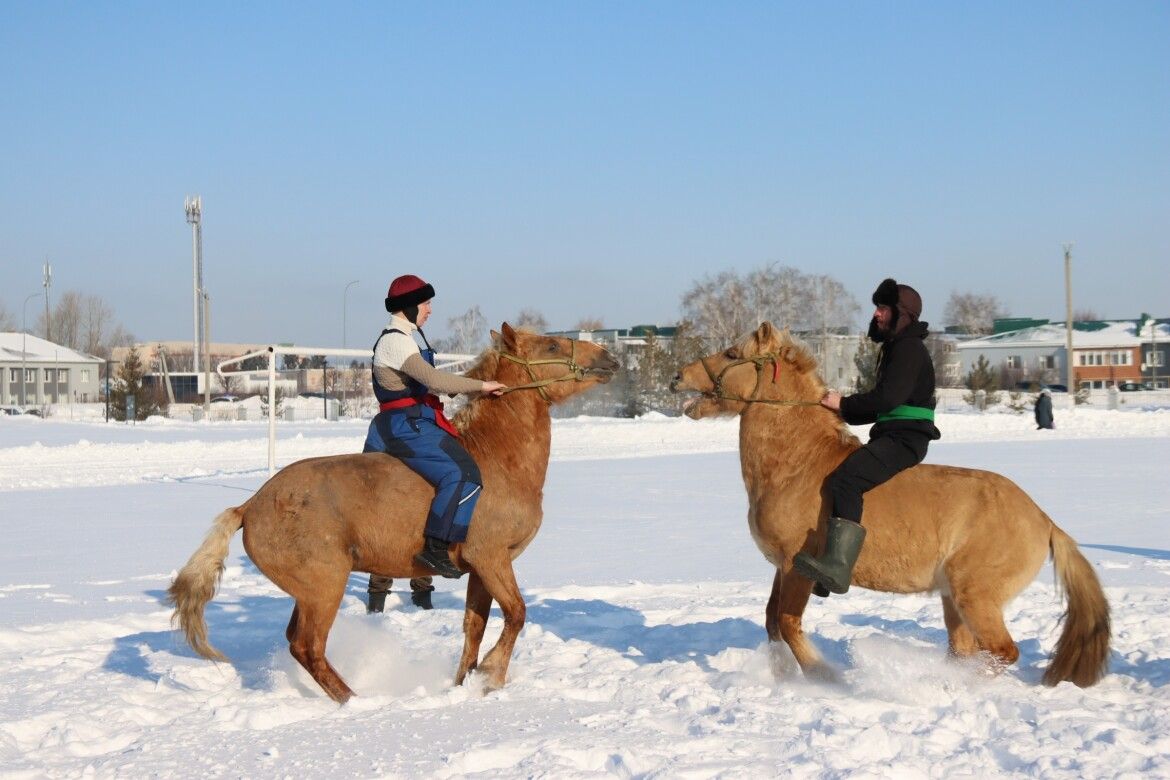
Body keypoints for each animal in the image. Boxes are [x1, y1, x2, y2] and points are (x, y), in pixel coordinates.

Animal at [169, 327, 622, 706]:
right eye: (552, 345)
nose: (610, 358)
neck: (495, 457)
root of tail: (250, 507)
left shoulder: (482, 568)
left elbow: (474, 628)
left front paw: (464, 684)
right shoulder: (492, 558)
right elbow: (517, 614)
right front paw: (492, 676)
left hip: (309, 592)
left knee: (298, 643)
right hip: (324, 588)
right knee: (307, 647)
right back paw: (355, 700)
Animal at [673, 322, 1109, 687]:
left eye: (731, 353)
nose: (678, 376)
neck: (797, 466)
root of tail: (1044, 520)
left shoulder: (798, 566)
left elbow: (788, 622)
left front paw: (822, 676)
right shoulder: (783, 567)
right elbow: (771, 621)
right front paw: (783, 676)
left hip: (977, 597)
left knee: (1003, 652)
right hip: (954, 600)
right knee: (966, 649)